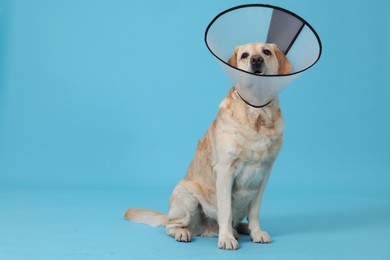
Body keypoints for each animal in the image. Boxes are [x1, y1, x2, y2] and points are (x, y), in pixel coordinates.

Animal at [123, 42, 290, 250]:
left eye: (266, 52)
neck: (256, 114)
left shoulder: (264, 174)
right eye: (245, 55)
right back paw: (185, 232)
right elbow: (225, 210)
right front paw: (226, 239)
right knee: (171, 226)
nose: (256, 60)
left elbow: (255, 211)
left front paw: (257, 232)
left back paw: (243, 229)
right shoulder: (226, 171)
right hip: (186, 197)